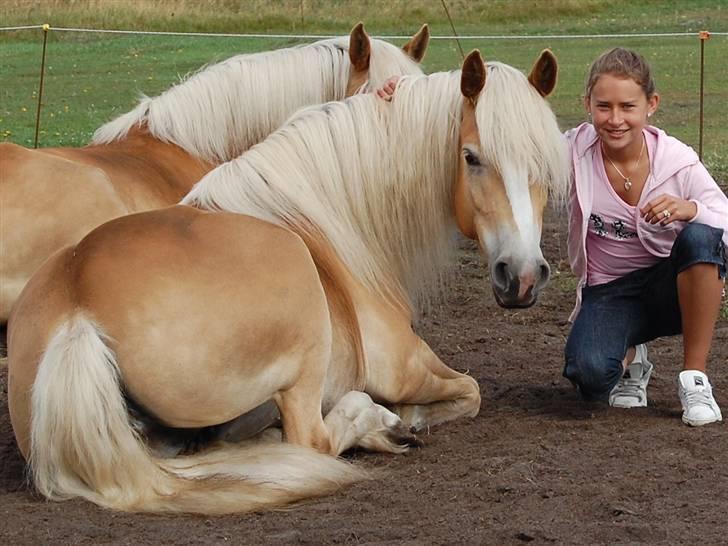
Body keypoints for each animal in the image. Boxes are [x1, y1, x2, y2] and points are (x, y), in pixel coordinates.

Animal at [8, 49, 572, 512]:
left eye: (547, 163)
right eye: (472, 157)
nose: (522, 277)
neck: (331, 217)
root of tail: (76, 309)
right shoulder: (407, 367)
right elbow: (470, 392)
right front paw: (404, 418)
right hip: (305, 347)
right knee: (310, 439)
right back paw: (376, 425)